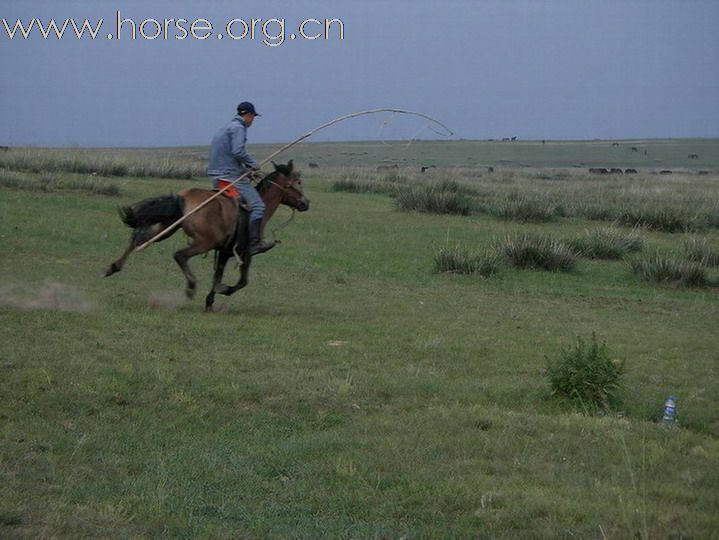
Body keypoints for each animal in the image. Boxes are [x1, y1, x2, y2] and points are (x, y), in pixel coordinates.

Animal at [105, 160, 310, 310]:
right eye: (298, 182)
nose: (306, 203)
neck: (262, 206)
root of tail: (182, 197)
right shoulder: (246, 252)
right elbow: (242, 281)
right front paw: (223, 290)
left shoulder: (225, 251)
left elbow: (217, 275)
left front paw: (210, 302)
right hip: (203, 242)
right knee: (179, 255)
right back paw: (190, 287)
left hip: (167, 227)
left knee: (137, 239)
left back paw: (113, 267)